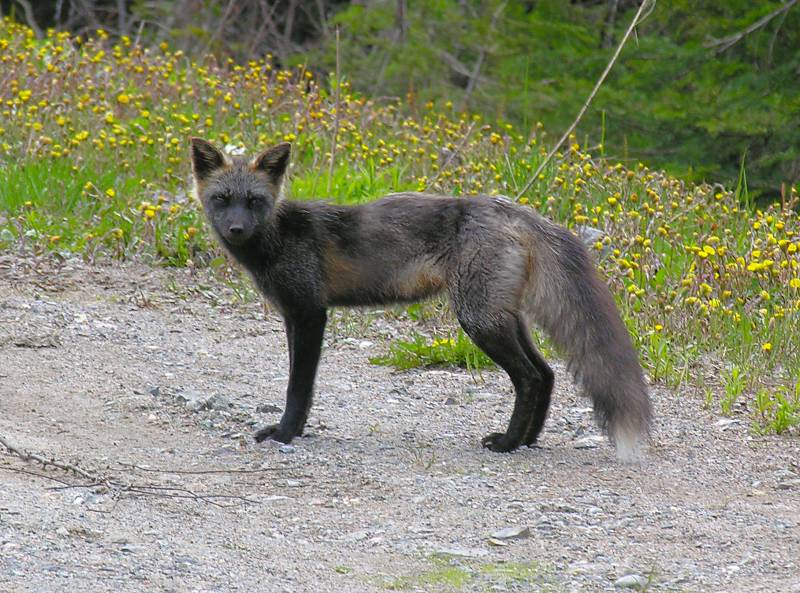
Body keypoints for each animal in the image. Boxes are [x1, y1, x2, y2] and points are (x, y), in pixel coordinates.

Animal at [190, 137, 652, 461]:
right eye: (222, 200)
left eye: (254, 202)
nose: (235, 229)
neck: (279, 238)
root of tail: (513, 208)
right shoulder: (292, 315)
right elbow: (299, 386)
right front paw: (295, 431)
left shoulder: (309, 313)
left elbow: (298, 387)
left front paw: (286, 434)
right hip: (502, 316)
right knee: (548, 373)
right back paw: (526, 440)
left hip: (478, 320)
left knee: (531, 378)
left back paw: (507, 443)